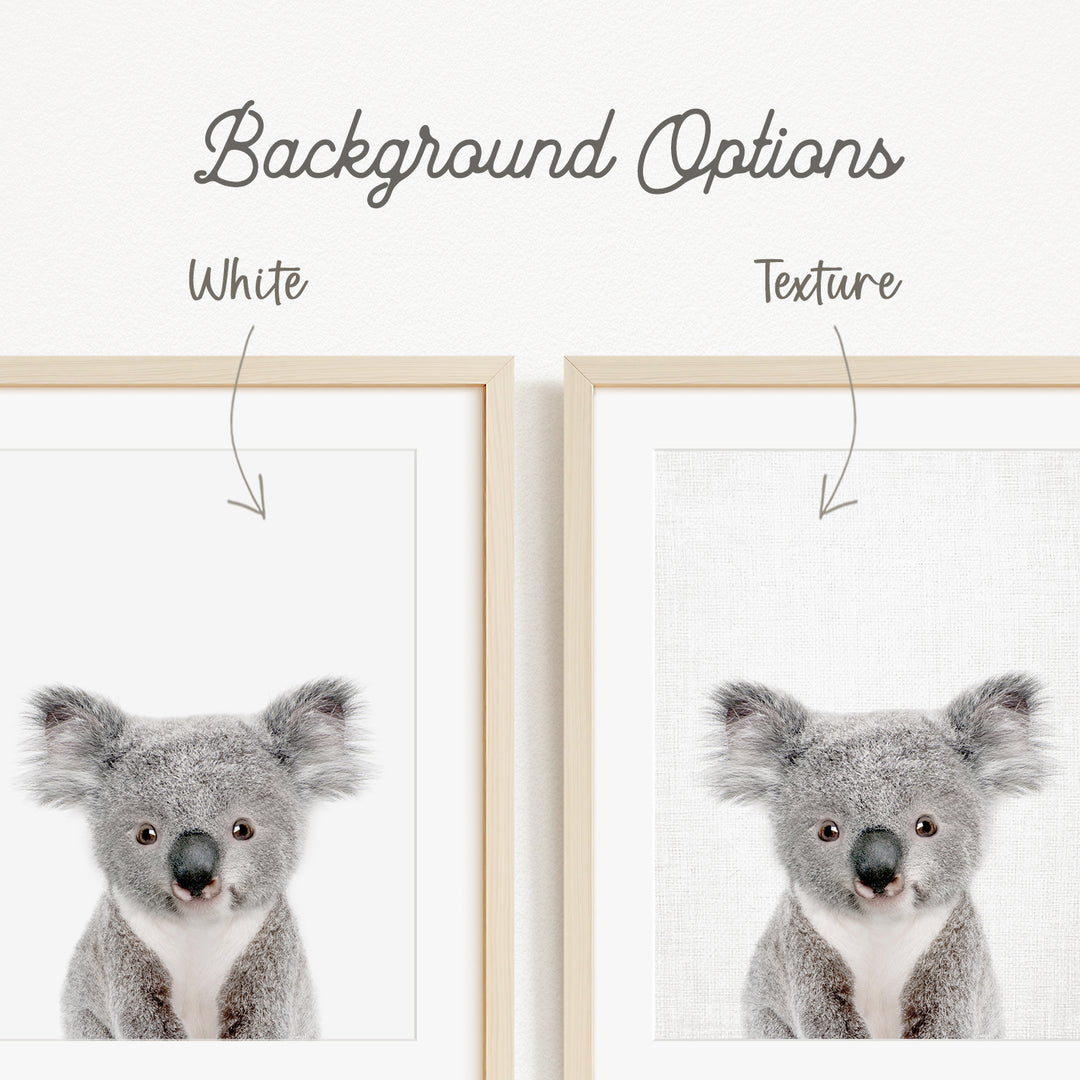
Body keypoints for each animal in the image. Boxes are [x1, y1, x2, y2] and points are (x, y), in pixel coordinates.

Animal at [26, 677, 366, 1039]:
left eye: (243, 830)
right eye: (146, 834)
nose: (195, 876)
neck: (198, 929)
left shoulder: (271, 955)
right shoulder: (121, 953)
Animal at [708, 673, 1045, 1039]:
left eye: (926, 826)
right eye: (828, 831)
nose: (877, 872)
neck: (880, 928)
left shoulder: (954, 953)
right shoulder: (803, 951)